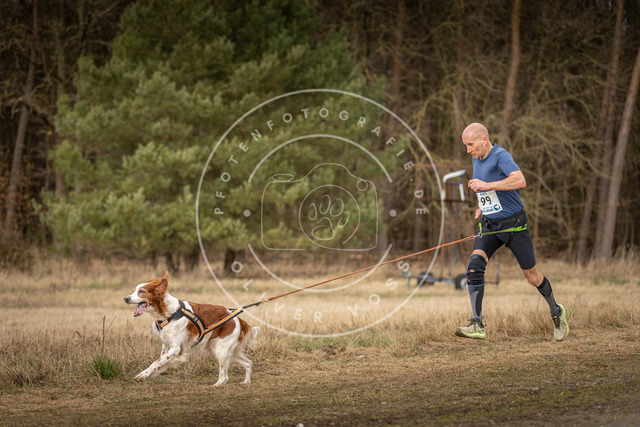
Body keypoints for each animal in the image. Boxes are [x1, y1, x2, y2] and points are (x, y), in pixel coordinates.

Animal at [124, 271, 259, 386]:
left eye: (142, 291)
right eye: (133, 290)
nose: (126, 298)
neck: (168, 313)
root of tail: (236, 318)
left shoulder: (176, 348)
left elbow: (156, 362)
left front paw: (142, 375)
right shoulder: (166, 346)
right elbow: (160, 361)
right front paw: (149, 374)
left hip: (221, 350)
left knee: (225, 377)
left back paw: (216, 385)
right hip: (226, 351)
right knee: (248, 363)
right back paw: (246, 382)